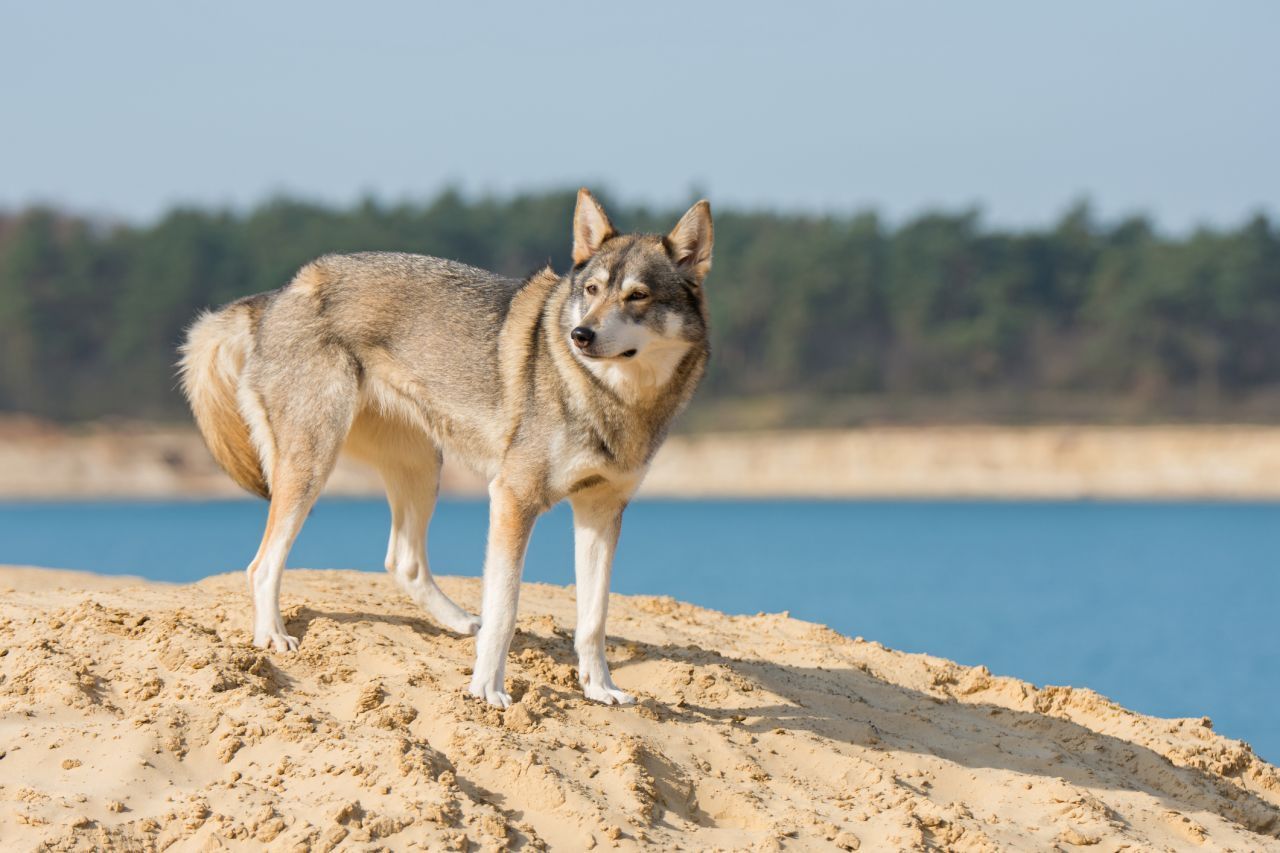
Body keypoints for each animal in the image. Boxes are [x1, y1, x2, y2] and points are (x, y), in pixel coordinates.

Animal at [179, 190, 716, 701]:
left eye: (637, 296)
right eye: (592, 291)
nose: (579, 335)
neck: (615, 396)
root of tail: (277, 295)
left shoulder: (600, 513)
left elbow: (593, 619)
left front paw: (600, 689)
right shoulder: (513, 500)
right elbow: (505, 610)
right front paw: (487, 690)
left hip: (419, 469)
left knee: (403, 562)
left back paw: (459, 621)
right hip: (312, 470)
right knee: (262, 564)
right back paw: (272, 636)